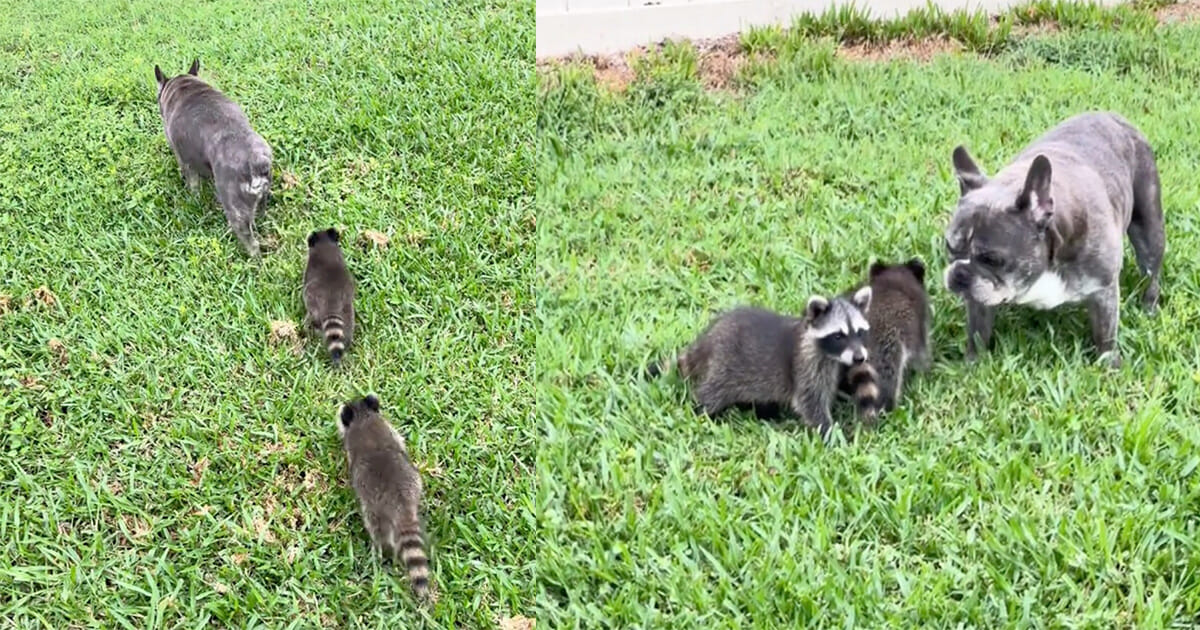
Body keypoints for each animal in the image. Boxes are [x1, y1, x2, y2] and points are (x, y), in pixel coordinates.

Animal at [154, 58, 272, 255]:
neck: (185, 87)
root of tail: (256, 161)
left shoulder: (184, 161)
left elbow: (193, 184)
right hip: (262, 195)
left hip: (234, 205)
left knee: (247, 237)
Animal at [336, 393, 434, 604]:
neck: (364, 416)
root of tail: (402, 501)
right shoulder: (391, 430)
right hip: (416, 481)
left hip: (374, 509)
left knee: (377, 529)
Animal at [648, 284, 873, 436]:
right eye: (838, 336)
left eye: (860, 332)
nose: (859, 358)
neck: (829, 354)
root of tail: (705, 340)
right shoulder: (805, 366)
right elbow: (809, 403)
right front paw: (830, 432)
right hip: (723, 365)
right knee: (711, 393)